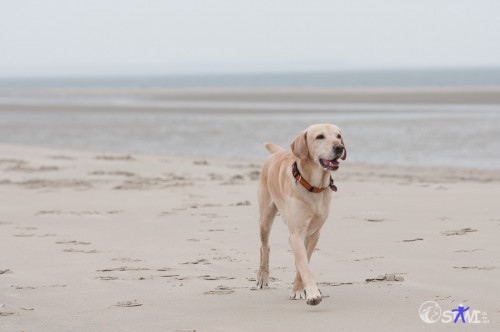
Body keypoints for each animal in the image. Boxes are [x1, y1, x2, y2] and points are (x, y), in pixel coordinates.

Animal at [256, 124, 346, 306]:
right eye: (320, 137)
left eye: (338, 136)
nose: (339, 147)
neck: (314, 187)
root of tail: (277, 153)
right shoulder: (296, 233)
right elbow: (304, 265)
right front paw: (312, 293)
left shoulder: (313, 234)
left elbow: (303, 262)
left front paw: (298, 289)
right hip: (265, 217)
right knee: (264, 247)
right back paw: (262, 277)